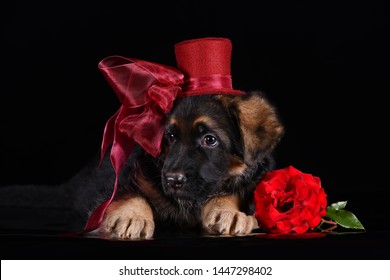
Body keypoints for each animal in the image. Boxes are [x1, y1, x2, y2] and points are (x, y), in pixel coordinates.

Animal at [84, 91, 284, 240]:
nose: (172, 180)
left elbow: (233, 191)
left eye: (209, 139)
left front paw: (228, 211)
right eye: (171, 137)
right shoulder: (126, 179)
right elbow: (127, 193)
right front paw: (132, 215)